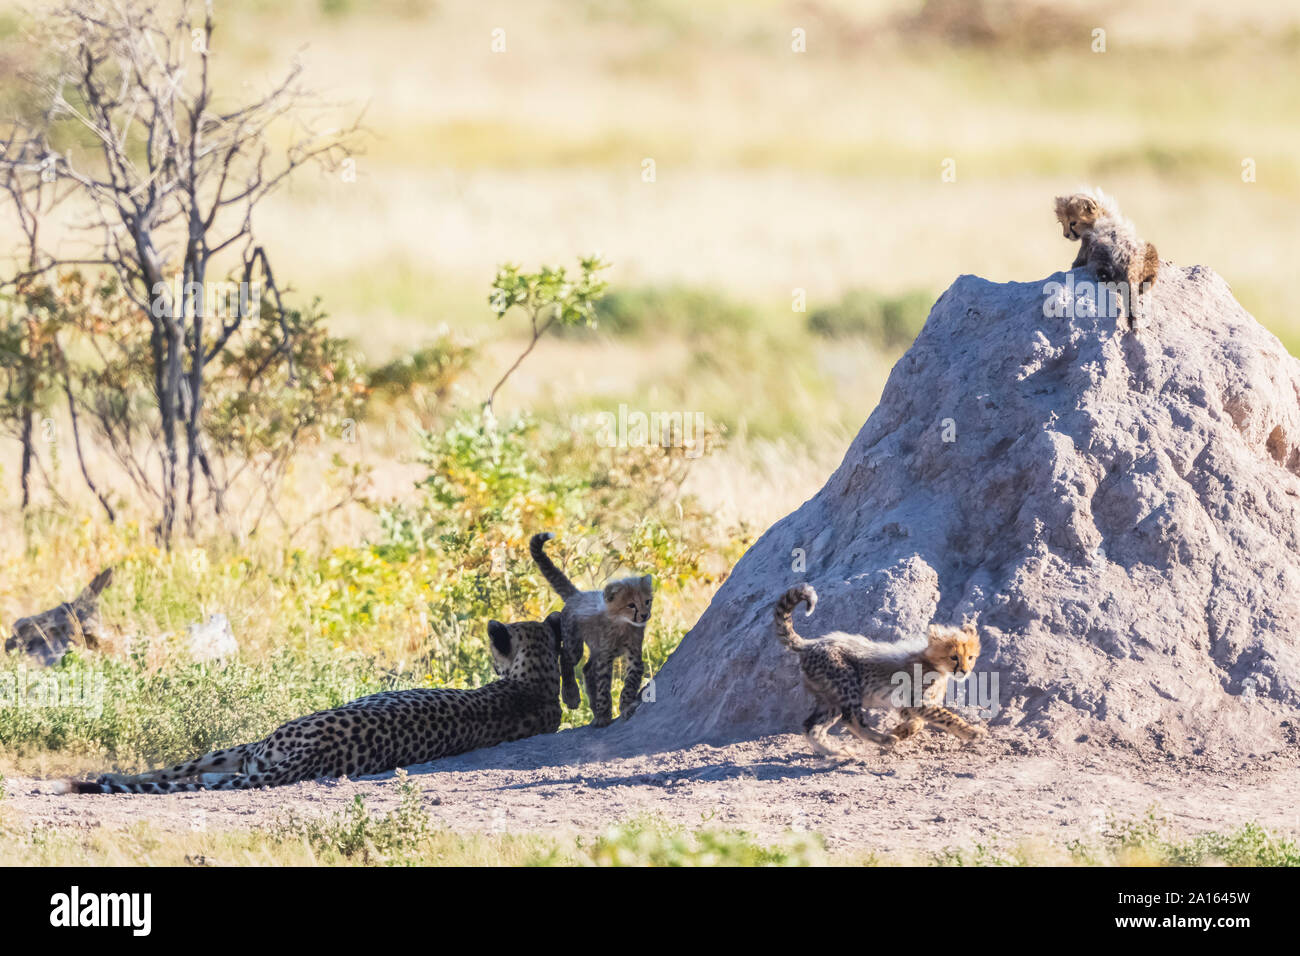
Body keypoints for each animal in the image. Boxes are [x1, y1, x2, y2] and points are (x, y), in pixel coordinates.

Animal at [63, 616, 564, 796]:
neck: (537, 682)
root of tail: (317, 750)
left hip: (252, 745)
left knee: (186, 773)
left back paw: (106, 778)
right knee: (199, 777)